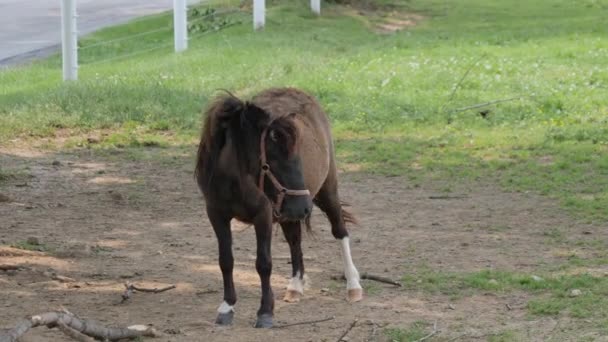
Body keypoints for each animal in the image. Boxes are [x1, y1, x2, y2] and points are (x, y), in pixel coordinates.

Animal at [197, 87, 364, 328]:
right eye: (272, 160)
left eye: (296, 157)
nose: (304, 206)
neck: (235, 181)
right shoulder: (216, 215)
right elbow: (225, 261)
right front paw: (227, 307)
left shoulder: (263, 215)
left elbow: (264, 264)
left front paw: (265, 312)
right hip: (288, 213)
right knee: (295, 242)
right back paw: (295, 286)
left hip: (326, 191)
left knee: (340, 231)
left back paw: (353, 285)